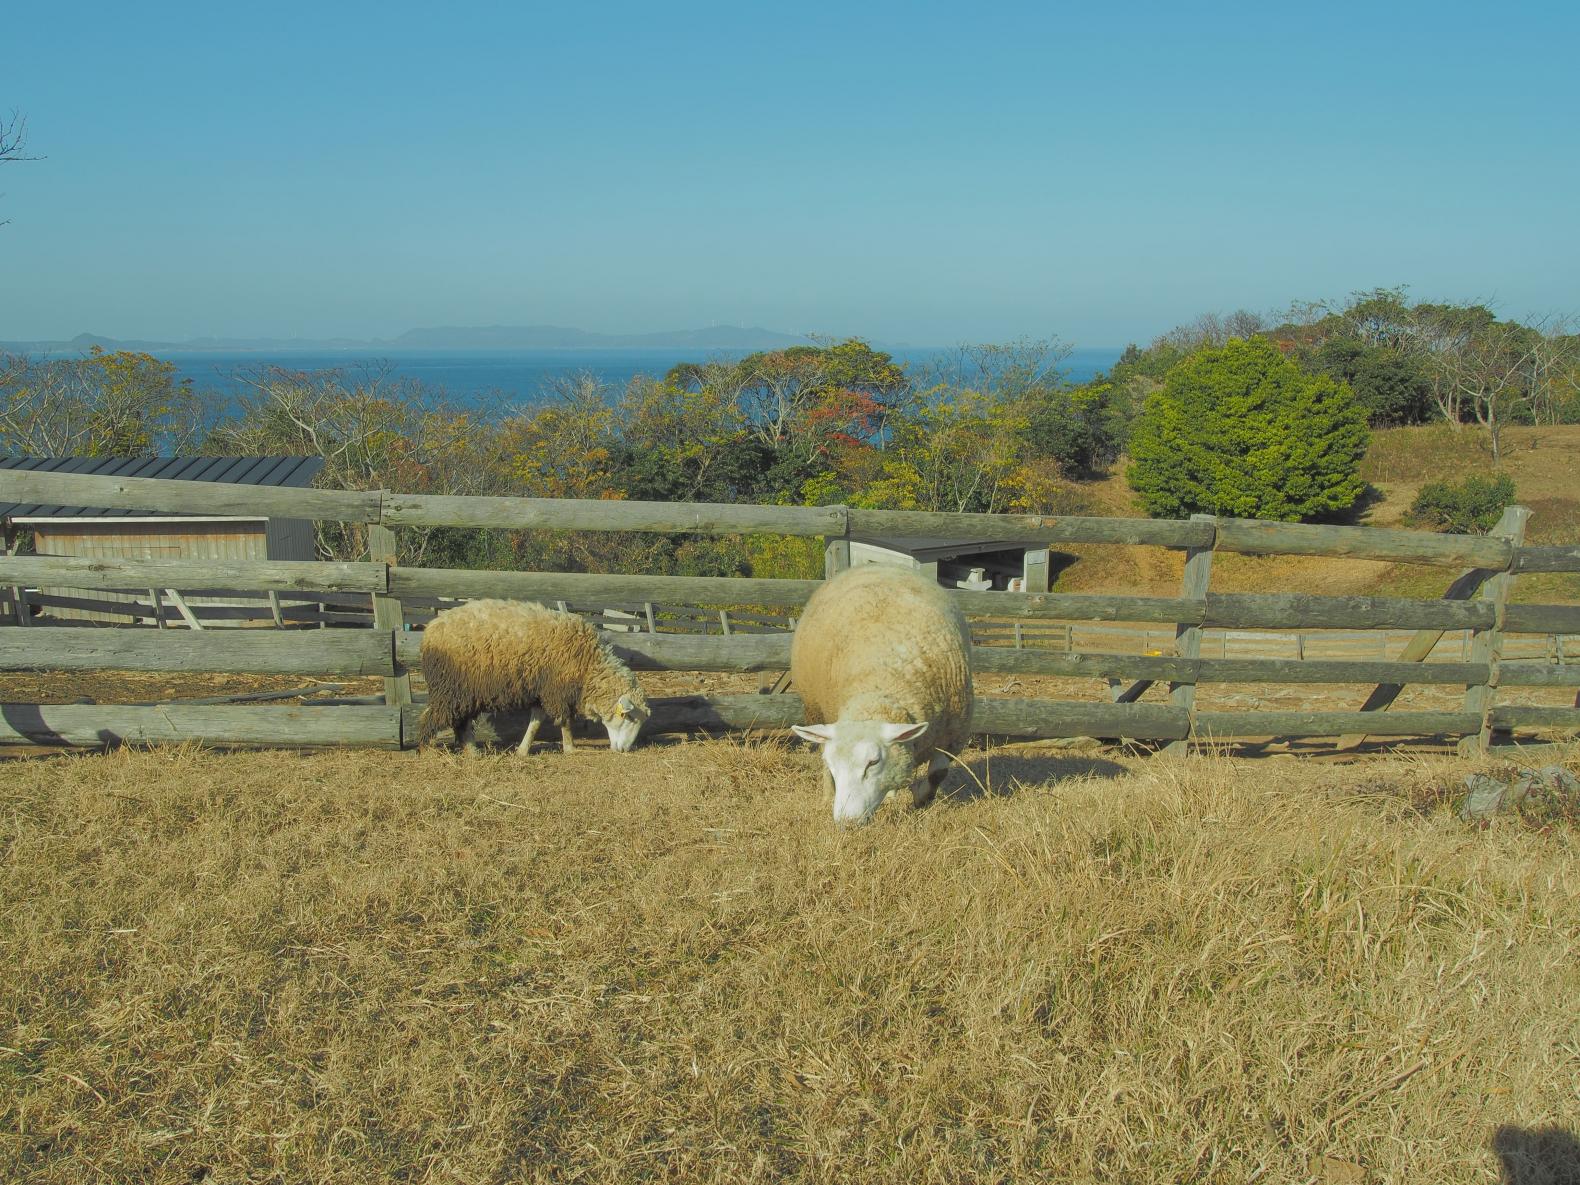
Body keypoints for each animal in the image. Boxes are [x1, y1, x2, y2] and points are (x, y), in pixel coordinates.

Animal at [417, 597, 650, 755]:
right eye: (628, 717)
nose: (624, 750)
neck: (587, 666)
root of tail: (431, 630)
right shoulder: (557, 690)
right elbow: (565, 721)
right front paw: (570, 748)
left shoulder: (543, 690)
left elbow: (536, 721)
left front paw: (523, 749)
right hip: (451, 687)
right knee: (432, 717)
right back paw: (426, 749)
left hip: (463, 692)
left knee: (460, 721)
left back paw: (472, 752)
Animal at [786, 565, 966, 827]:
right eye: (834, 765)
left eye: (873, 762)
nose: (846, 822)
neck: (879, 687)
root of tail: (873, 565)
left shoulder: (952, 734)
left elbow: (937, 774)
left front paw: (920, 797)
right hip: (814, 708)